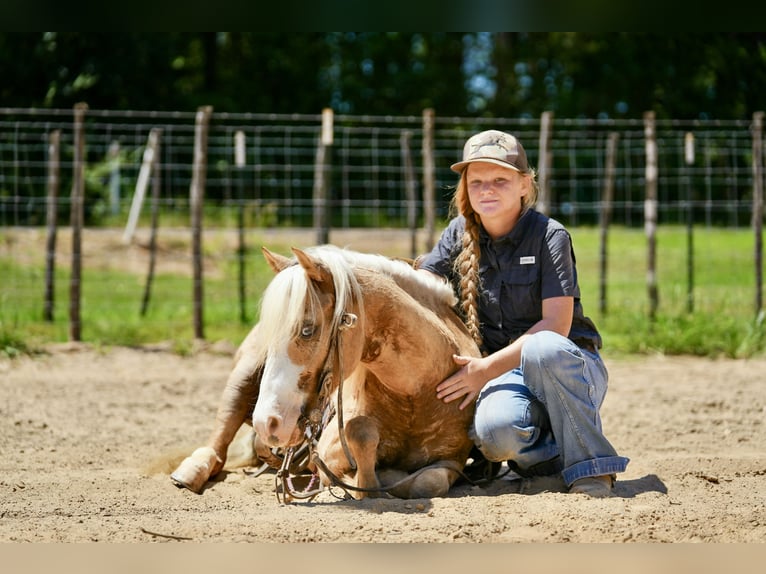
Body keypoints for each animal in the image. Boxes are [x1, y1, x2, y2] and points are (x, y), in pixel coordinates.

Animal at [170, 245, 481, 499]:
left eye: (308, 330)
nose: (268, 423)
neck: (415, 397)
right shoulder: (328, 451)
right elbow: (360, 437)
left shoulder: (452, 460)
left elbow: (428, 482)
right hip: (243, 377)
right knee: (222, 432)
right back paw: (192, 470)